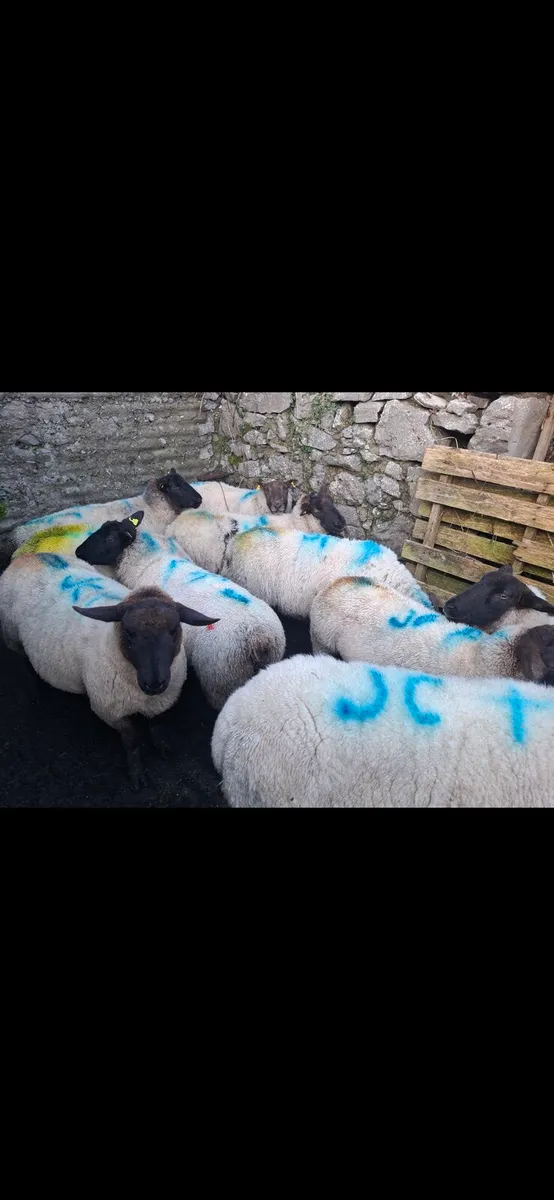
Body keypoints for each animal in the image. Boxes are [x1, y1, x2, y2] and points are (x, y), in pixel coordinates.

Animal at [0, 528, 217, 789]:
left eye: (174, 630)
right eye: (129, 633)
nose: (154, 683)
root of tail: (29, 557)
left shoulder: (160, 702)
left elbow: (157, 725)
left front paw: (162, 747)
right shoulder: (111, 709)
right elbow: (131, 742)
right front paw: (137, 774)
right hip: (12, 636)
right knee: (22, 662)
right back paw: (33, 693)